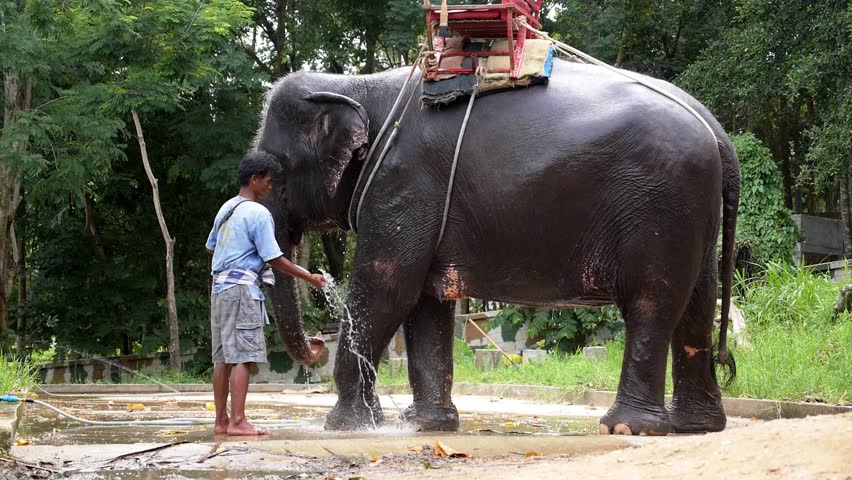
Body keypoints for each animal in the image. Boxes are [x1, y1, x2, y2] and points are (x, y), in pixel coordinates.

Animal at [255, 58, 740, 436]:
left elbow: (387, 288)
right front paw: (424, 425)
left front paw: (347, 426)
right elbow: (425, 302)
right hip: (692, 212)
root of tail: (716, 127)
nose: (317, 341)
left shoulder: (403, 183)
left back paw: (626, 427)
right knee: (697, 306)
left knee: (651, 303)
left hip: (659, 206)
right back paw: (696, 427)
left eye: (273, 174)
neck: (357, 85)